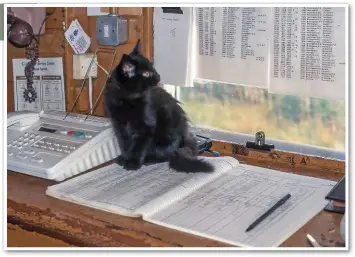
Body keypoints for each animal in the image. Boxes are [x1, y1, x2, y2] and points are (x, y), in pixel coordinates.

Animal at [103, 39, 214, 172]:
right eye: (146, 73)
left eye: (152, 68)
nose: (158, 76)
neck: (127, 99)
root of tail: (185, 138)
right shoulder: (119, 126)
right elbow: (124, 144)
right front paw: (125, 158)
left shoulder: (146, 127)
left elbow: (138, 147)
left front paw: (133, 163)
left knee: (167, 154)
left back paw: (150, 159)